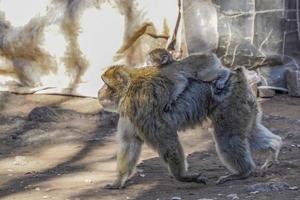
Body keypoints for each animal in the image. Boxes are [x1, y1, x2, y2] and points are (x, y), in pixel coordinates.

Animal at [98, 57, 282, 188]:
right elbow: (130, 142)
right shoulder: (130, 114)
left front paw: (182, 177)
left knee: (227, 137)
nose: (99, 92)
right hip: (244, 102)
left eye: (106, 85)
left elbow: (167, 140)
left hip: (230, 101)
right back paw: (274, 146)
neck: (129, 89)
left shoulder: (142, 107)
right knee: (250, 132)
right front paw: (118, 181)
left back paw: (243, 173)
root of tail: (237, 75)